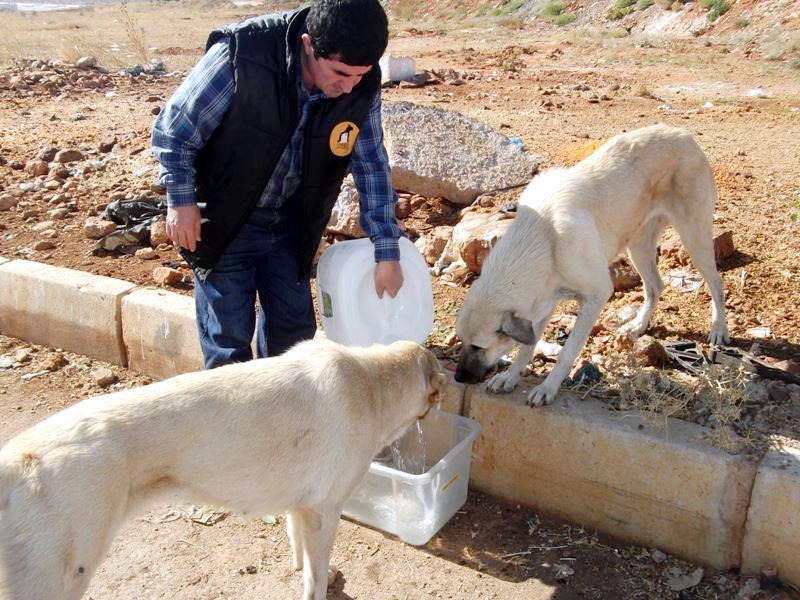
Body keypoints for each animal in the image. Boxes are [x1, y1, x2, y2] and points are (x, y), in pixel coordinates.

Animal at [0, 340, 450, 600]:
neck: (373, 383)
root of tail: (13, 460)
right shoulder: (325, 511)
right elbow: (315, 574)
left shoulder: (301, 507)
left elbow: (298, 550)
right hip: (61, 576)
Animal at [454, 125, 728, 408]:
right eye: (461, 341)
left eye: (478, 346)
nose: (458, 378)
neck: (541, 238)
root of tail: (683, 134)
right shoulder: (543, 303)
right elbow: (527, 346)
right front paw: (510, 377)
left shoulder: (596, 295)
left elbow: (567, 352)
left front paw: (548, 387)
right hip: (637, 246)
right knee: (655, 286)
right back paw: (638, 326)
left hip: (694, 237)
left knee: (717, 283)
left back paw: (718, 328)